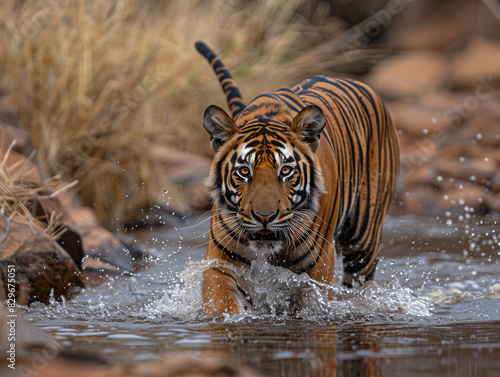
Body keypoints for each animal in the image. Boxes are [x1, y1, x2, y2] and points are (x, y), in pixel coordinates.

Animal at [194, 41, 398, 314]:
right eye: (244, 171)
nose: (264, 217)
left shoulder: (320, 263)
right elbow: (222, 303)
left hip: (363, 240)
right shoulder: (220, 260)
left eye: (286, 171)